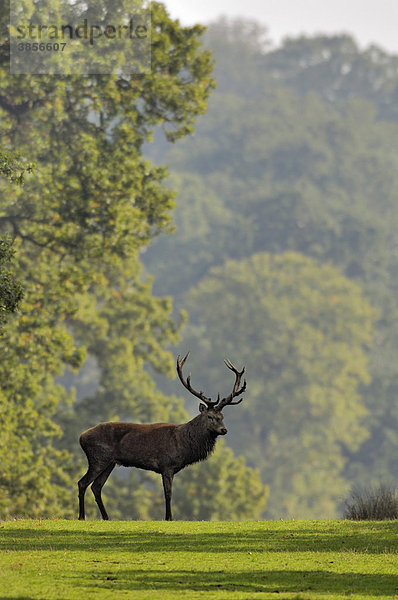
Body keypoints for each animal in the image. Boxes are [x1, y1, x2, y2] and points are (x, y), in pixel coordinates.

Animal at [77, 352, 246, 520]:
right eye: (210, 416)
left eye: (222, 416)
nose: (224, 430)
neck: (184, 445)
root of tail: (81, 437)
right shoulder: (167, 465)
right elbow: (168, 493)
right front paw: (169, 518)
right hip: (98, 458)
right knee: (82, 483)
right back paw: (82, 516)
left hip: (110, 462)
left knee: (96, 486)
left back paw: (106, 517)